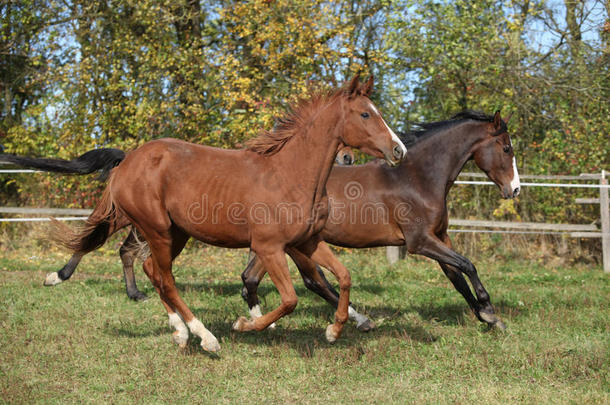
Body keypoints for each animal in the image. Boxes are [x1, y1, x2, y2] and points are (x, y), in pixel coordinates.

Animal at [48, 76, 404, 350]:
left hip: (176, 232)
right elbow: (290, 299)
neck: (291, 174)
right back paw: (205, 337)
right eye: (365, 114)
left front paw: (335, 330)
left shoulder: (307, 241)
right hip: (156, 229)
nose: (398, 150)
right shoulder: (269, 248)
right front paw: (245, 324)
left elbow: (343, 277)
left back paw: (180, 333)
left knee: (153, 270)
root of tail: (127, 162)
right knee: (166, 279)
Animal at [240, 109, 520, 328]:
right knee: (311, 281)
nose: (515, 189)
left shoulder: (440, 236)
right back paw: (359, 321)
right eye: (506, 148)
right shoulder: (421, 242)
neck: (416, 179)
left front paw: (488, 318)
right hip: (292, 245)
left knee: (250, 278)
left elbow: (456, 277)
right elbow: (467, 265)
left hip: (279, 245)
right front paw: (488, 311)